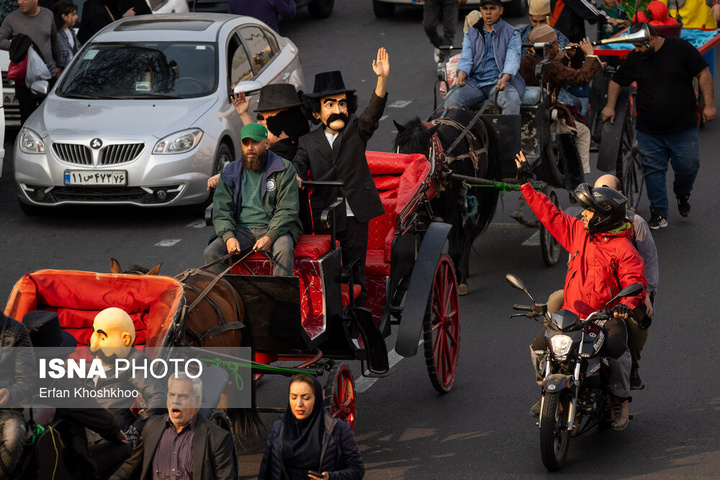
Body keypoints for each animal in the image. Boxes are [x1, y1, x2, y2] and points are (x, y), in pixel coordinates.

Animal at [390, 109, 504, 294]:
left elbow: (454, 250)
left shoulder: (451, 210)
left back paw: (462, 275)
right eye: (403, 151)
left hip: (476, 193)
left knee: (468, 231)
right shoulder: (422, 215)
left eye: (423, 155)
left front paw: (455, 281)